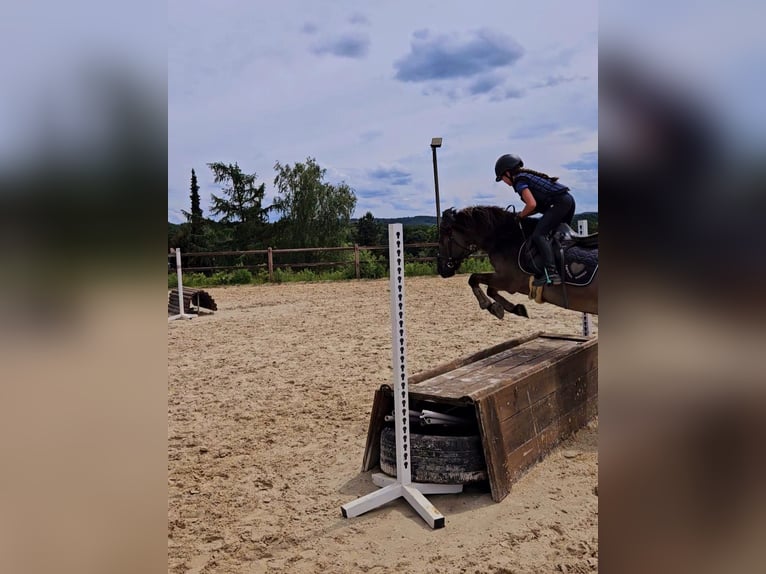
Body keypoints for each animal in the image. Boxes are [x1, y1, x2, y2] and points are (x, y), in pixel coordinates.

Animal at [438, 207, 600, 322]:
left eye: (444, 237)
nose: (441, 269)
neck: (506, 239)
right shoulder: (505, 279)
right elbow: (490, 289)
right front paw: (512, 309)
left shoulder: (508, 281)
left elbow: (473, 278)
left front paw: (488, 306)